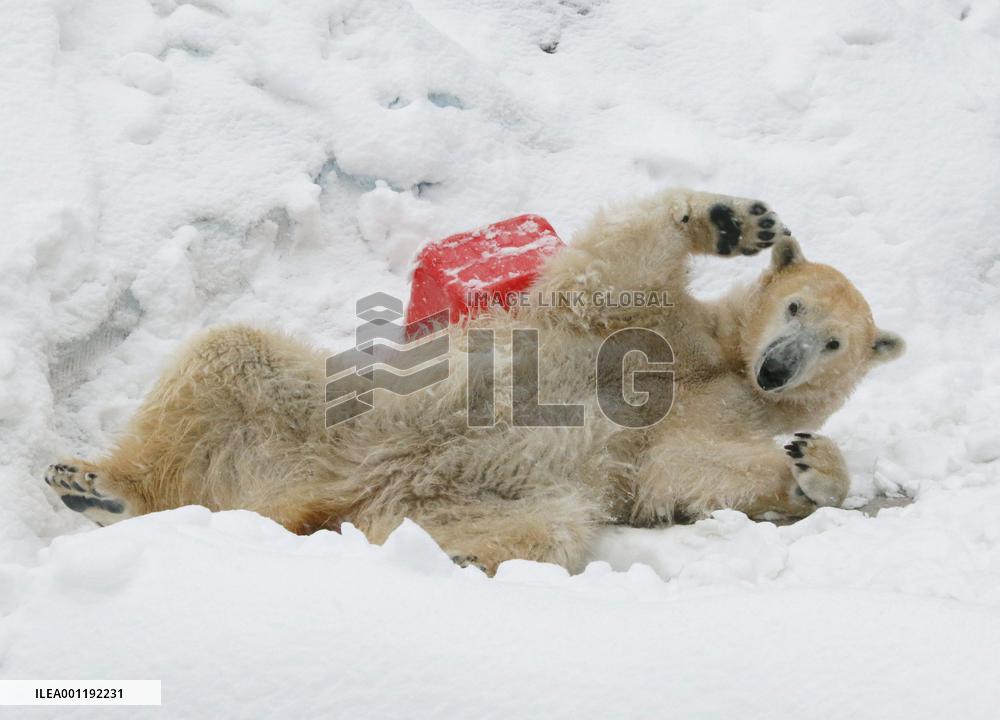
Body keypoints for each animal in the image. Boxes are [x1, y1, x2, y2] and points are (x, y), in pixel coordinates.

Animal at [44, 188, 904, 574]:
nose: (778, 366)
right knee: (227, 358)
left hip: (466, 498)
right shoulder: (648, 329)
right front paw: (732, 220)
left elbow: (687, 470)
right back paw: (98, 483)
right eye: (793, 305)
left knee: (543, 532)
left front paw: (816, 463)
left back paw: (444, 561)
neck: (727, 361)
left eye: (834, 342)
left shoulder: (708, 422)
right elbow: (607, 276)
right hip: (328, 413)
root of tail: (317, 502)